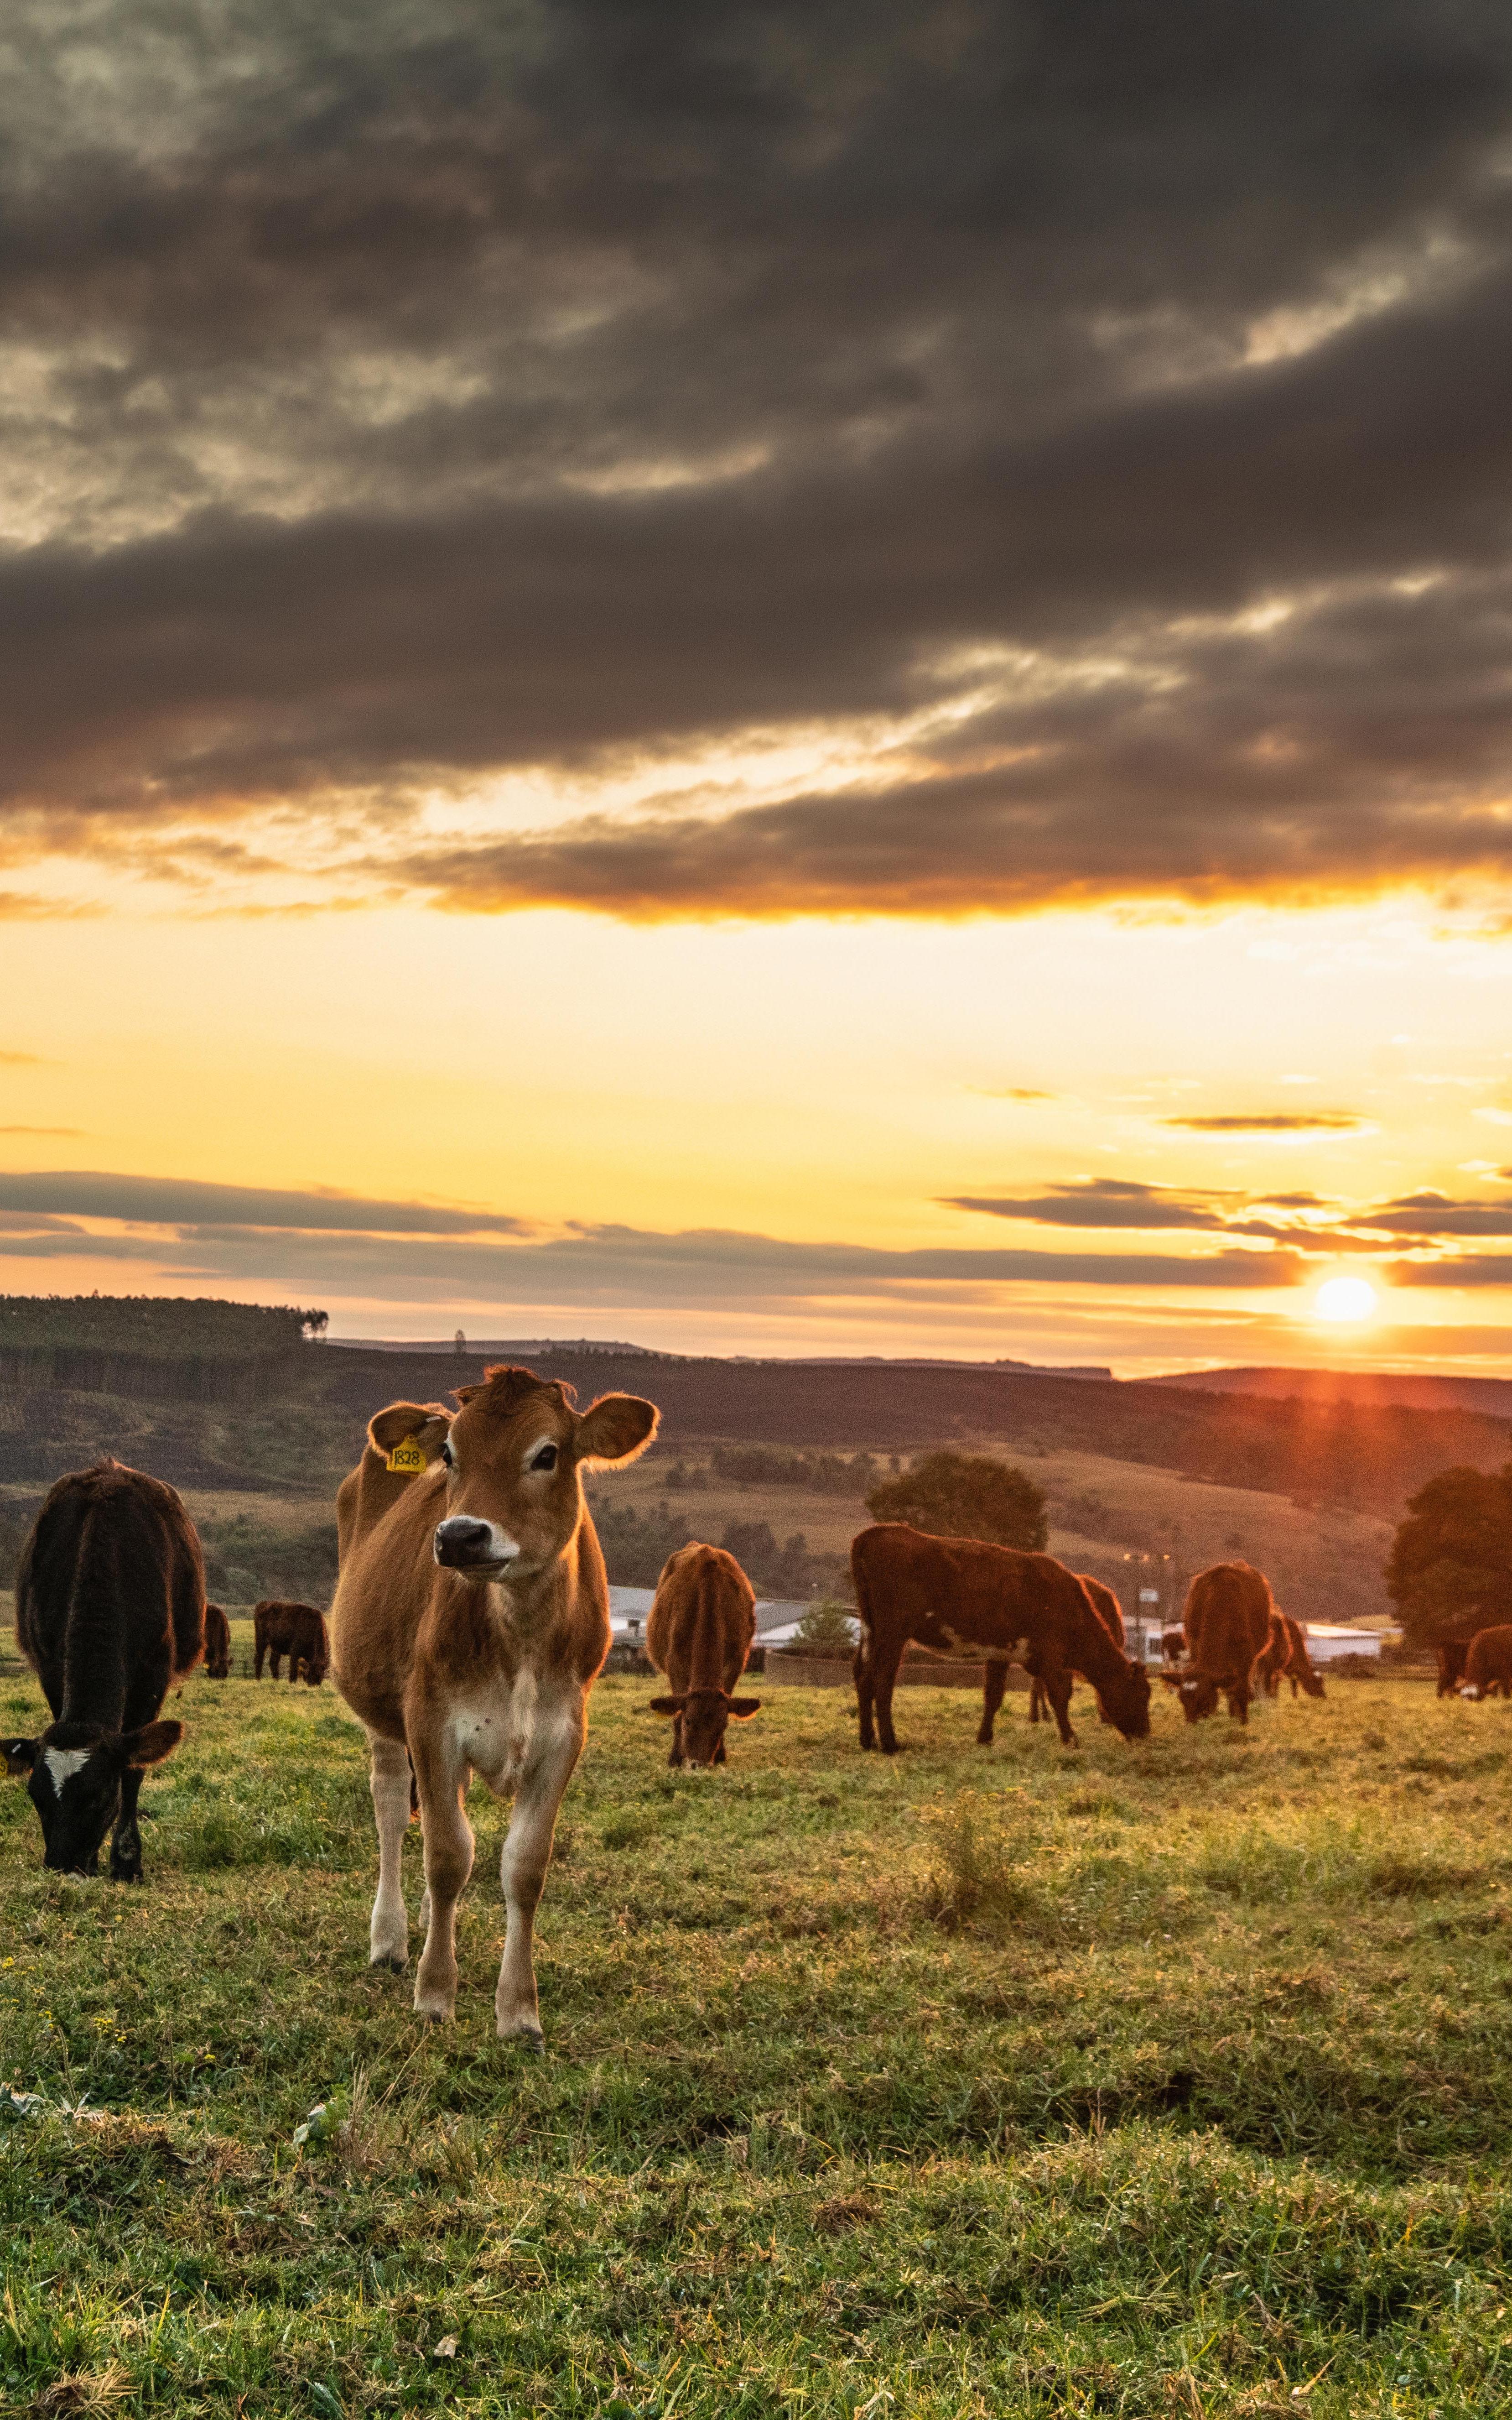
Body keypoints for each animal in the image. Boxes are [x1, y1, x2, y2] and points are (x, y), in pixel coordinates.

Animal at [1, 1461, 200, 1877]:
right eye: (36, 1798)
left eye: (99, 1798)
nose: (63, 1867)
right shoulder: (50, 1665)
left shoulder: (153, 1676)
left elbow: (134, 1767)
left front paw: (127, 1860)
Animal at [253, 1600, 329, 1685]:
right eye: (309, 1673)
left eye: (320, 1675)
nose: (313, 1685)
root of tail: (262, 1604)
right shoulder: (295, 1652)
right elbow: (293, 1669)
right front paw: (292, 1682)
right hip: (261, 1641)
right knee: (260, 1659)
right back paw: (258, 1680)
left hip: (276, 1647)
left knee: (273, 1662)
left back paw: (276, 1681)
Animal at [329, 1364, 658, 2040]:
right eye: (450, 1454)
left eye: (547, 1454)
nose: (460, 1536)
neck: (521, 1631)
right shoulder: (431, 1722)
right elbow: (448, 1856)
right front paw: (434, 1993)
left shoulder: (562, 1735)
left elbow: (523, 1868)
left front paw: (519, 2011)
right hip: (385, 1717)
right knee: (392, 1809)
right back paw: (391, 1938)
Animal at [646, 1542, 761, 1767]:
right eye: (689, 1722)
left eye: (723, 1725)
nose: (698, 1764)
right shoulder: (675, 1661)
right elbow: (677, 1711)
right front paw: (675, 1758)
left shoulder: (736, 1661)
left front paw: (721, 1756)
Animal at [1164, 1560, 1275, 1724]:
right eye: (1182, 1700)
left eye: (1204, 1699)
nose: (1192, 1724)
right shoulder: (1195, 1649)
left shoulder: (1244, 1660)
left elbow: (1241, 1691)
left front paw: (1242, 1722)